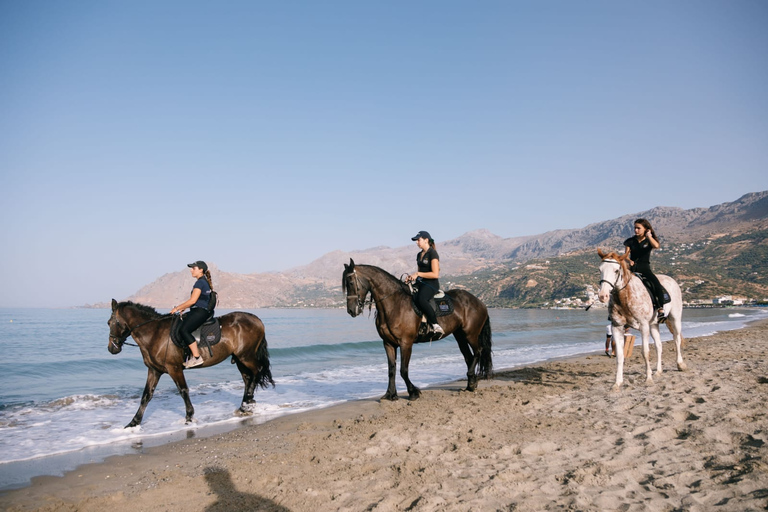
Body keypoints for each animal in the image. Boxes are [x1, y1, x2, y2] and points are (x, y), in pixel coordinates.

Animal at [106, 300, 274, 428]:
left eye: (112, 323)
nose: (111, 348)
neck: (154, 333)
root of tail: (257, 320)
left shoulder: (174, 369)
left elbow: (183, 391)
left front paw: (189, 417)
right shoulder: (154, 370)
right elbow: (146, 396)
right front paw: (133, 422)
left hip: (246, 356)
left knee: (257, 371)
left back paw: (248, 401)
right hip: (240, 359)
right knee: (248, 378)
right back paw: (245, 405)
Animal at [342, 260, 492, 400]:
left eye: (351, 282)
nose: (351, 310)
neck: (394, 304)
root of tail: (479, 302)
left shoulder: (406, 343)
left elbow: (403, 370)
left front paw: (413, 392)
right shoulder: (388, 343)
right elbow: (391, 370)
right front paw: (390, 394)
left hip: (470, 334)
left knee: (478, 351)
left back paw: (471, 379)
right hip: (460, 335)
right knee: (469, 357)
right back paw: (470, 385)